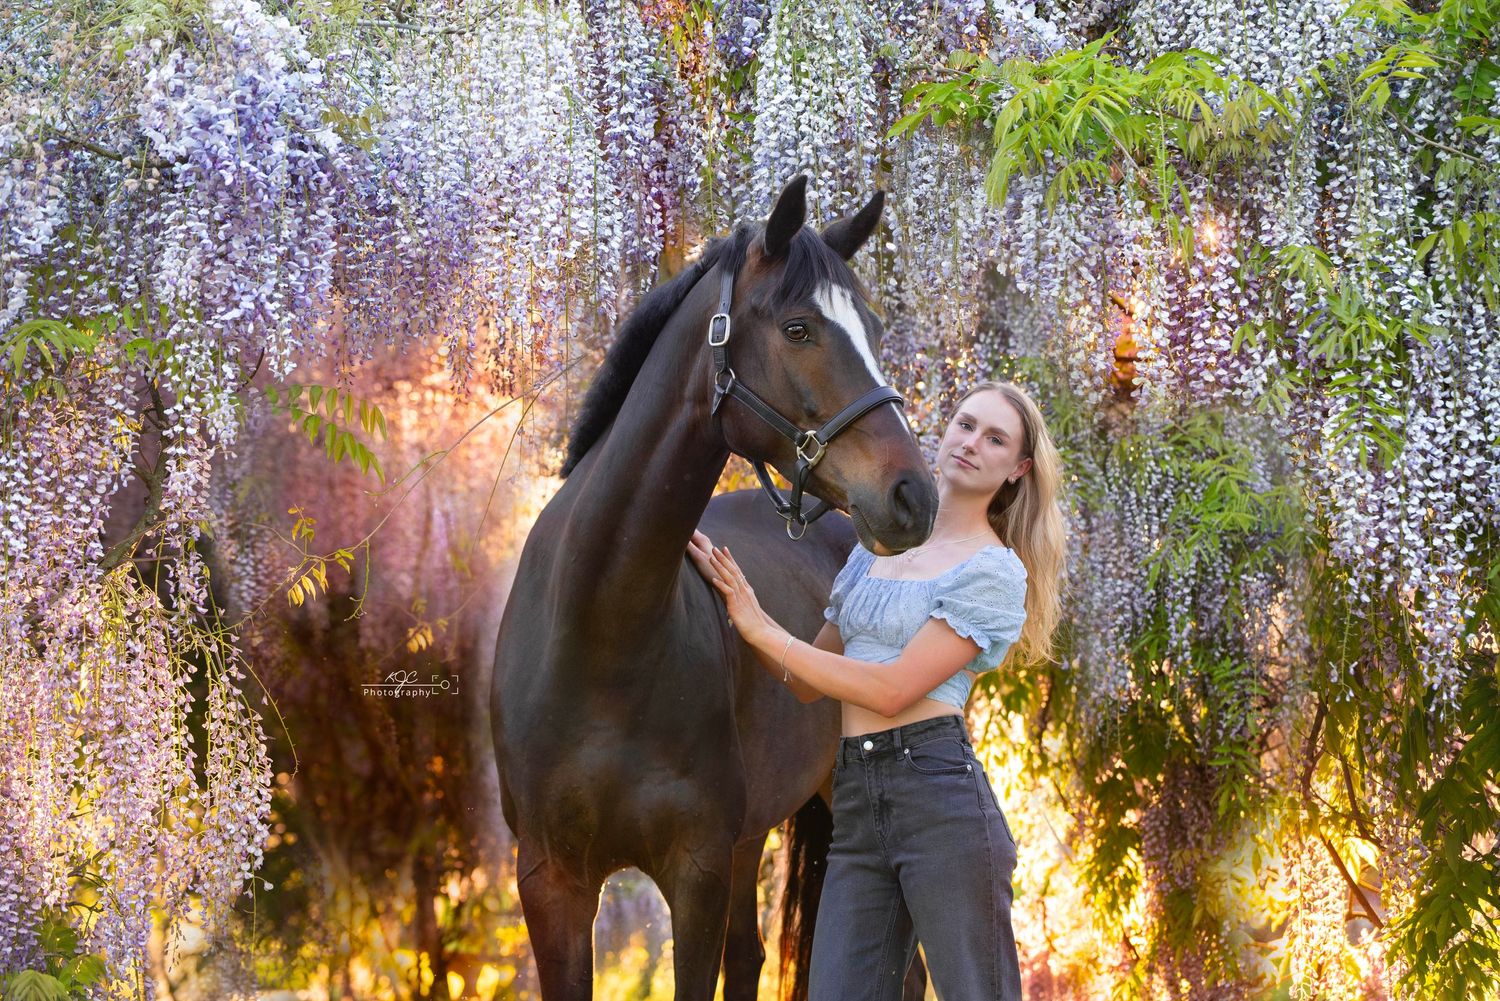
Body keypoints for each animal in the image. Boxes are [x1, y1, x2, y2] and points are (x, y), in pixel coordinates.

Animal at [491, 175, 939, 1000]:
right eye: (798, 328)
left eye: (873, 327)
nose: (913, 496)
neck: (602, 635)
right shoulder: (551, 879)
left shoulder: (694, 870)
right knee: (753, 956)